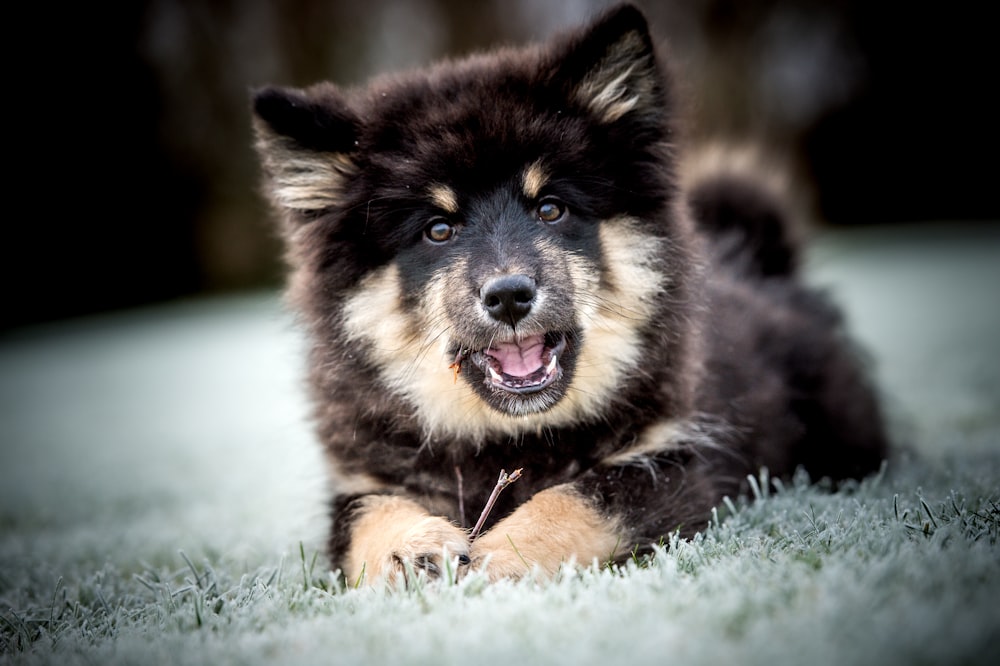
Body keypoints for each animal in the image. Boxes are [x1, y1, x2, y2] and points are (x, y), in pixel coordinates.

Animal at [248, 2, 884, 584]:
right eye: (438, 229)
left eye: (550, 209)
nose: (508, 295)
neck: (508, 436)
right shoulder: (361, 482)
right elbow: (369, 518)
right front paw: (411, 549)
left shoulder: (677, 459)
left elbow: (583, 499)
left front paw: (500, 554)